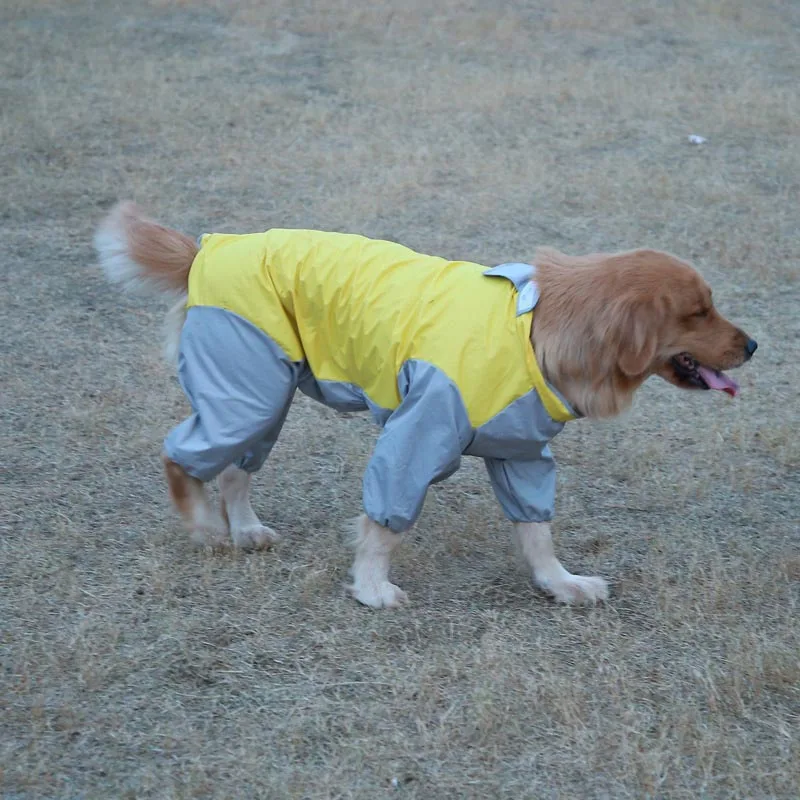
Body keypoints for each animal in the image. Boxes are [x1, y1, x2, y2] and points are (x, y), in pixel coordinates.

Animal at [94, 203, 756, 608]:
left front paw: (561, 584)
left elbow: (537, 531)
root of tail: (205, 250)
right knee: (181, 455)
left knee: (234, 467)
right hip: (244, 390)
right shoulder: (417, 432)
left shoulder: (522, 452)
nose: (753, 345)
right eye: (699, 311)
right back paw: (205, 526)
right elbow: (382, 523)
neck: (537, 331)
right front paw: (371, 587)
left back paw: (245, 528)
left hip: (262, 394)